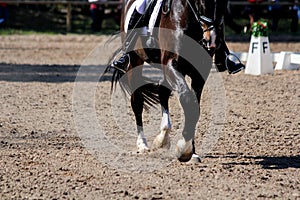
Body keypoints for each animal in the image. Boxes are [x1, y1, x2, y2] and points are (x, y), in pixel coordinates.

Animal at [105, 0, 216, 162]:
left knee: (163, 92)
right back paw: (142, 144)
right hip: (135, 61)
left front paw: (192, 151)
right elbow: (188, 100)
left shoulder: (200, 72)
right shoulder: (171, 64)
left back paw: (163, 137)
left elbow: (195, 108)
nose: (209, 37)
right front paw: (184, 149)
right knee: (137, 102)